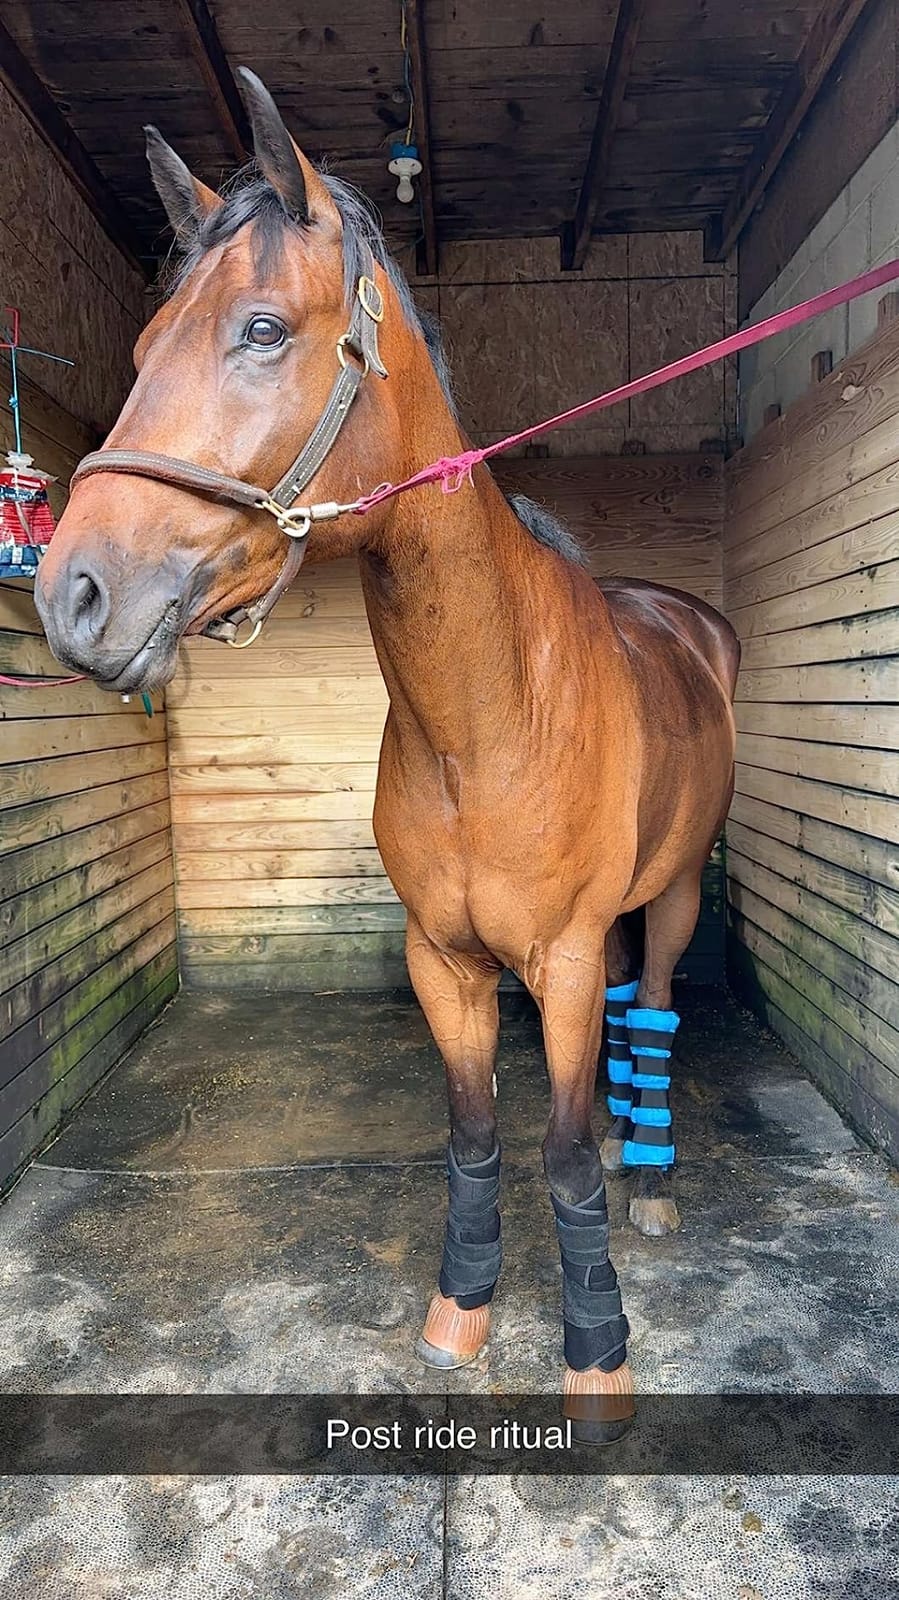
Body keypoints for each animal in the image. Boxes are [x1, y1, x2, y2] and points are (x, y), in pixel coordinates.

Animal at [35, 69, 739, 1415]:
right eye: (141, 350)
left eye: (262, 329)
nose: (71, 597)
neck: (486, 718)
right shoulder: (443, 962)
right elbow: (472, 1135)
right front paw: (459, 1312)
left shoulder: (562, 957)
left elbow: (559, 1151)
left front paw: (596, 1351)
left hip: (671, 895)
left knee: (657, 1003)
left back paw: (655, 1179)